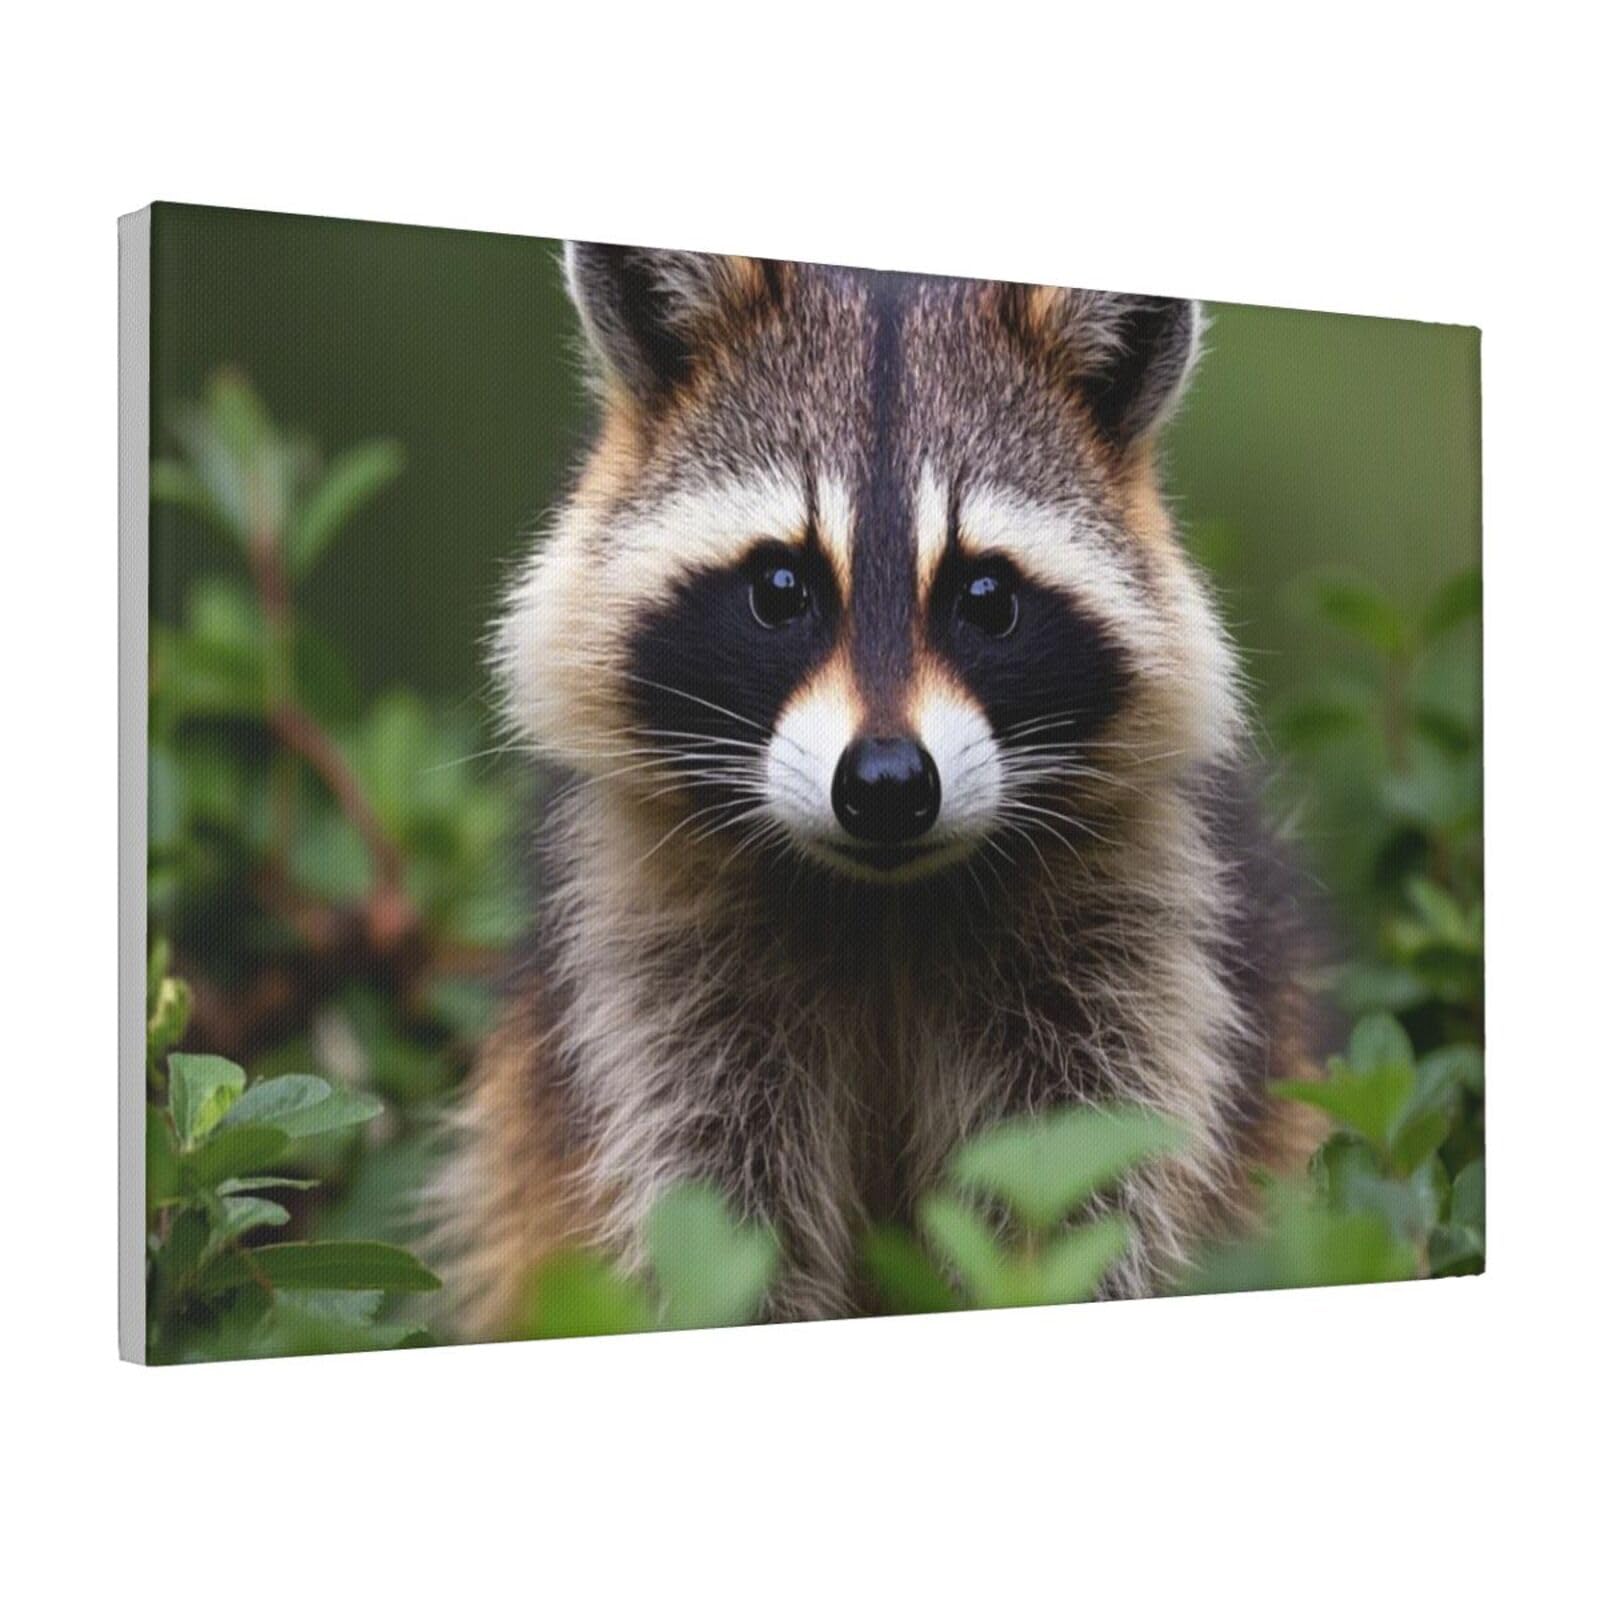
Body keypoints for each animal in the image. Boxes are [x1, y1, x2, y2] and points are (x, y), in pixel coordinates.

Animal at [437, 244, 1324, 1335]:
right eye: (781, 588)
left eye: (985, 597)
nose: (889, 784)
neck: (883, 902)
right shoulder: (647, 959)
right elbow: (708, 1209)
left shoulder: (1137, 942)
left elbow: (1087, 1184)